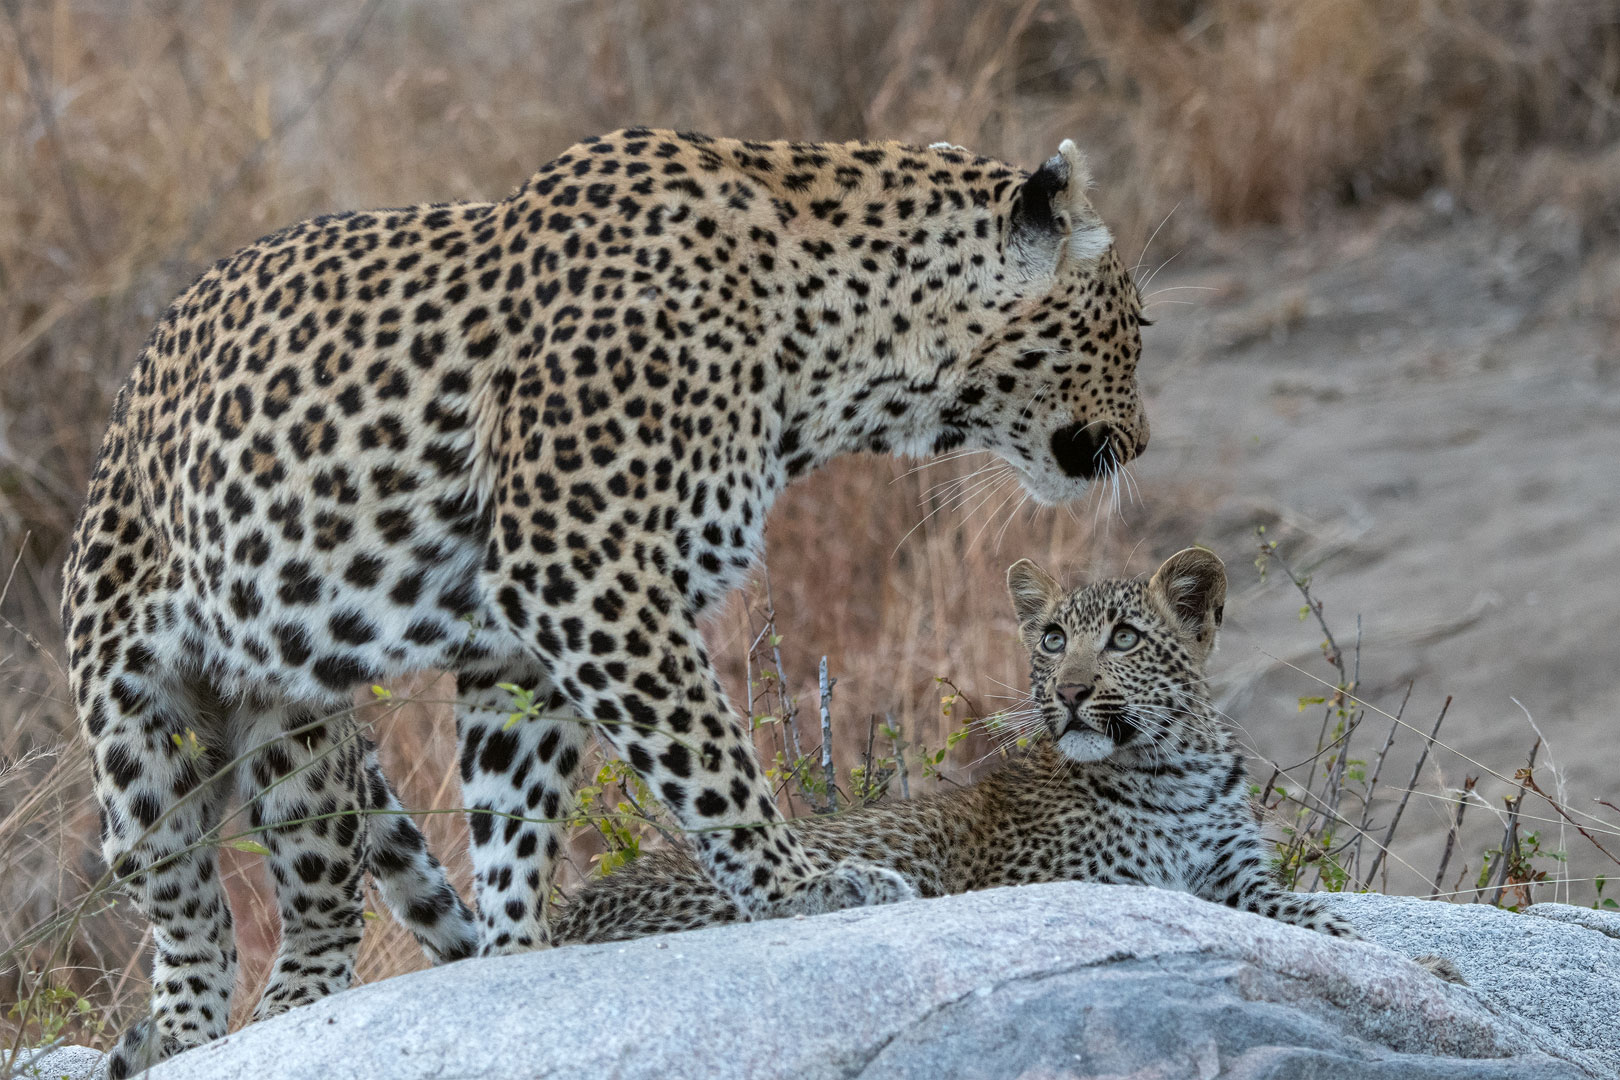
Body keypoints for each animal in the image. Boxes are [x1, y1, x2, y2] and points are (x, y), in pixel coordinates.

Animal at [63, 127, 1153, 1075]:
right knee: (190, 909)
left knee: (319, 895)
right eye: (1136, 327)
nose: (1141, 443)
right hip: (136, 723)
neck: (836, 354)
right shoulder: (583, 565)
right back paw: (204, 1028)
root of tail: (117, 424)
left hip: (294, 731)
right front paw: (804, 885)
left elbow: (512, 811)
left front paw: (521, 958)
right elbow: (712, 760)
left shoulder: (521, 642)